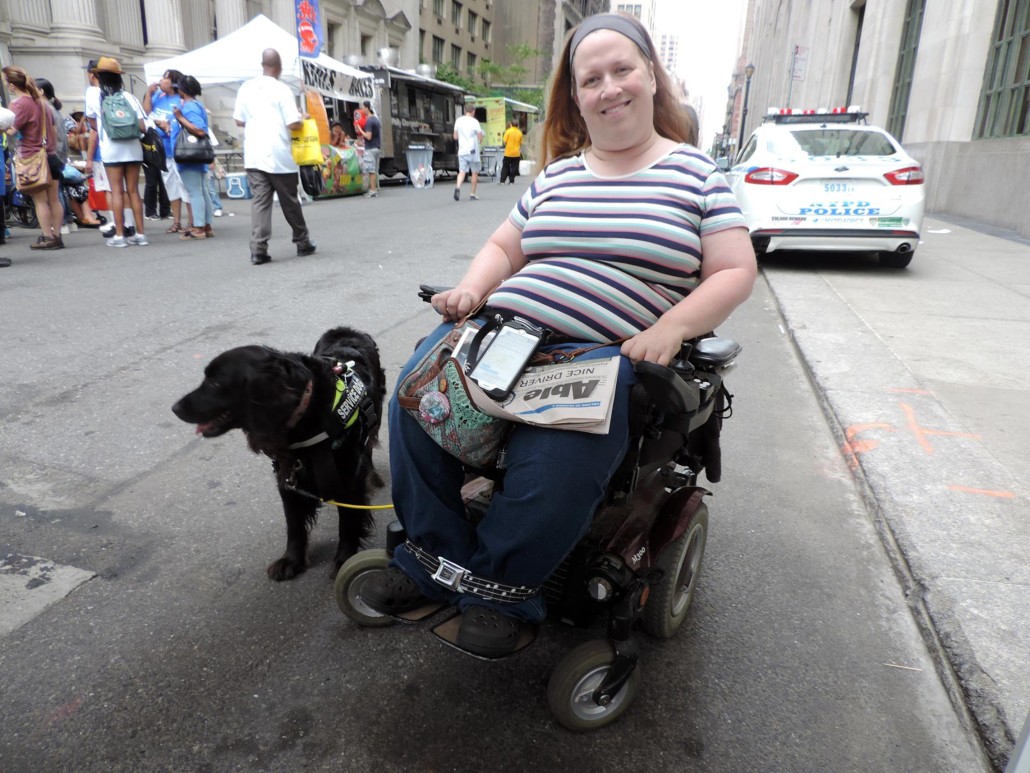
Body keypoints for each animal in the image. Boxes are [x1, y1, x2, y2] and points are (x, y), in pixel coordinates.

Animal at [173, 327, 387, 581]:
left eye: (215, 383)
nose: (175, 408)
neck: (307, 411)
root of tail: (346, 330)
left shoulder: (349, 478)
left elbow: (348, 523)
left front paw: (344, 560)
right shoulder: (287, 473)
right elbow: (293, 523)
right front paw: (291, 560)